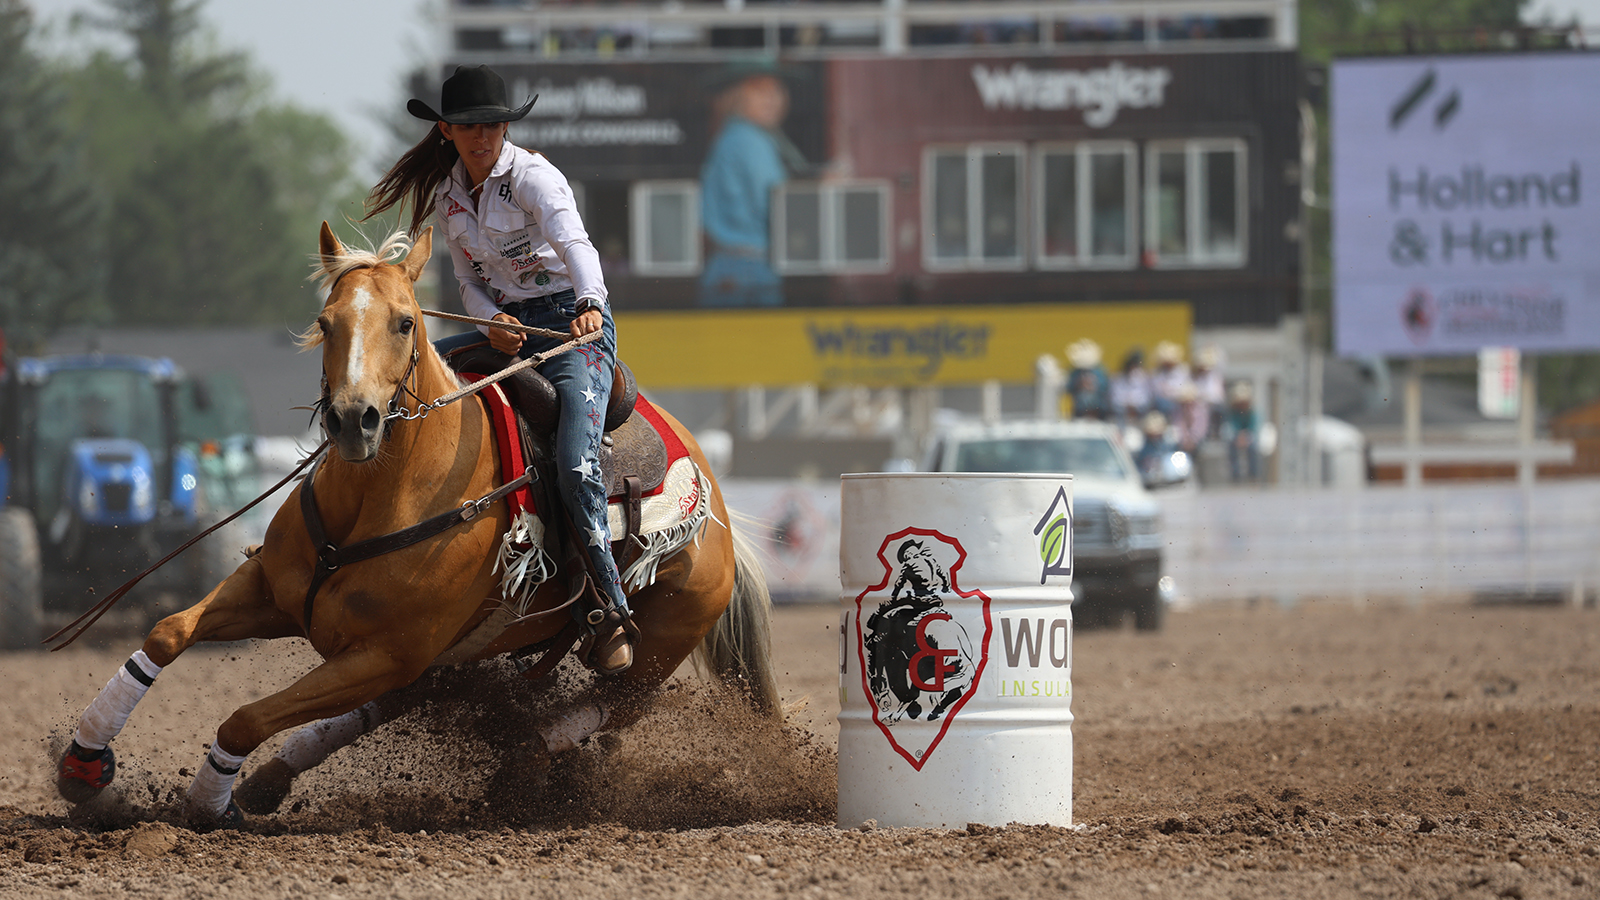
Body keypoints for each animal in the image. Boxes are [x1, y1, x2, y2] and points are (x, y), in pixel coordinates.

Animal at [59, 222, 784, 819]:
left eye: (405, 322)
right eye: (326, 322)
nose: (354, 420)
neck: (379, 499)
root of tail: (716, 511)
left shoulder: (383, 652)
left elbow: (243, 718)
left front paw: (209, 802)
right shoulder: (278, 594)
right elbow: (168, 633)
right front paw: (84, 765)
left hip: (656, 646)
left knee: (613, 705)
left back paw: (522, 765)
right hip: (447, 655)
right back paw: (273, 779)